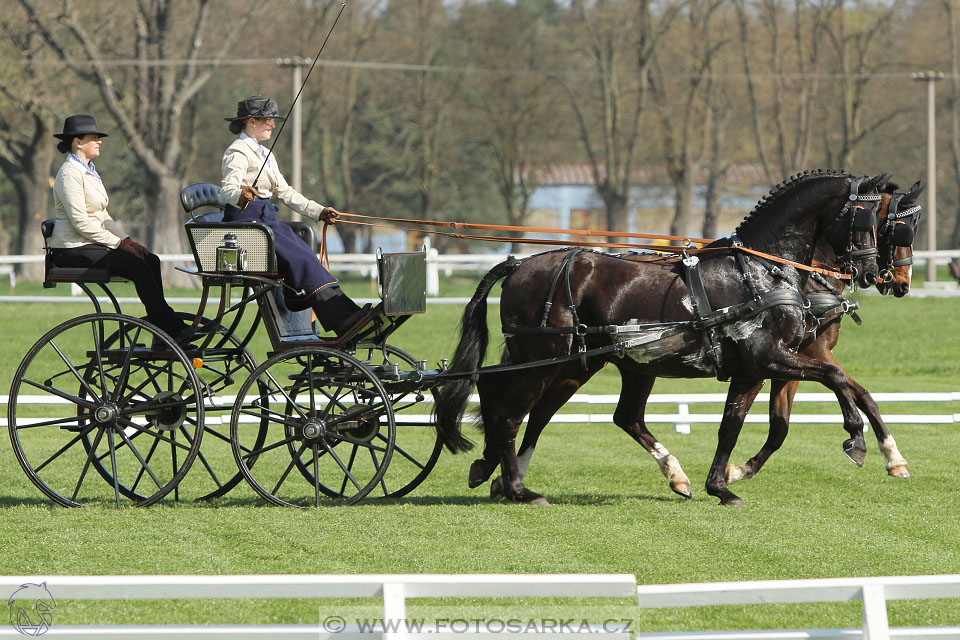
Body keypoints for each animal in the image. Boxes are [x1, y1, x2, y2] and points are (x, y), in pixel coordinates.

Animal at [436, 170, 884, 504]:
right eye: (864, 217)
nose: (870, 273)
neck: (758, 272)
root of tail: (519, 264)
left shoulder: (754, 369)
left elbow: (732, 425)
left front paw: (720, 486)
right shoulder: (767, 357)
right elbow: (835, 379)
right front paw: (856, 440)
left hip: (583, 362)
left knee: (531, 402)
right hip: (546, 359)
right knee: (511, 413)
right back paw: (518, 489)